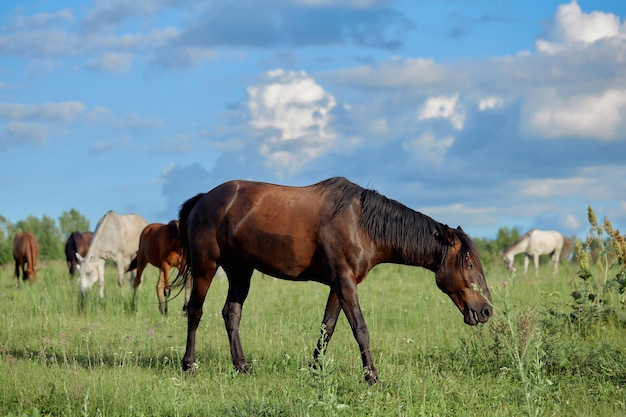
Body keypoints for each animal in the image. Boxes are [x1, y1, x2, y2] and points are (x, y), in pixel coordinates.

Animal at [173, 177, 490, 382]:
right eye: (469, 263)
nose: (486, 310)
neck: (362, 225)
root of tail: (204, 199)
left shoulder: (339, 285)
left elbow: (328, 327)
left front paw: (315, 369)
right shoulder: (345, 282)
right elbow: (360, 329)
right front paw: (372, 376)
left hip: (241, 271)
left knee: (231, 314)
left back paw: (242, 367)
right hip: (206, 267)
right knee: (195, 312)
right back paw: (189, 365)